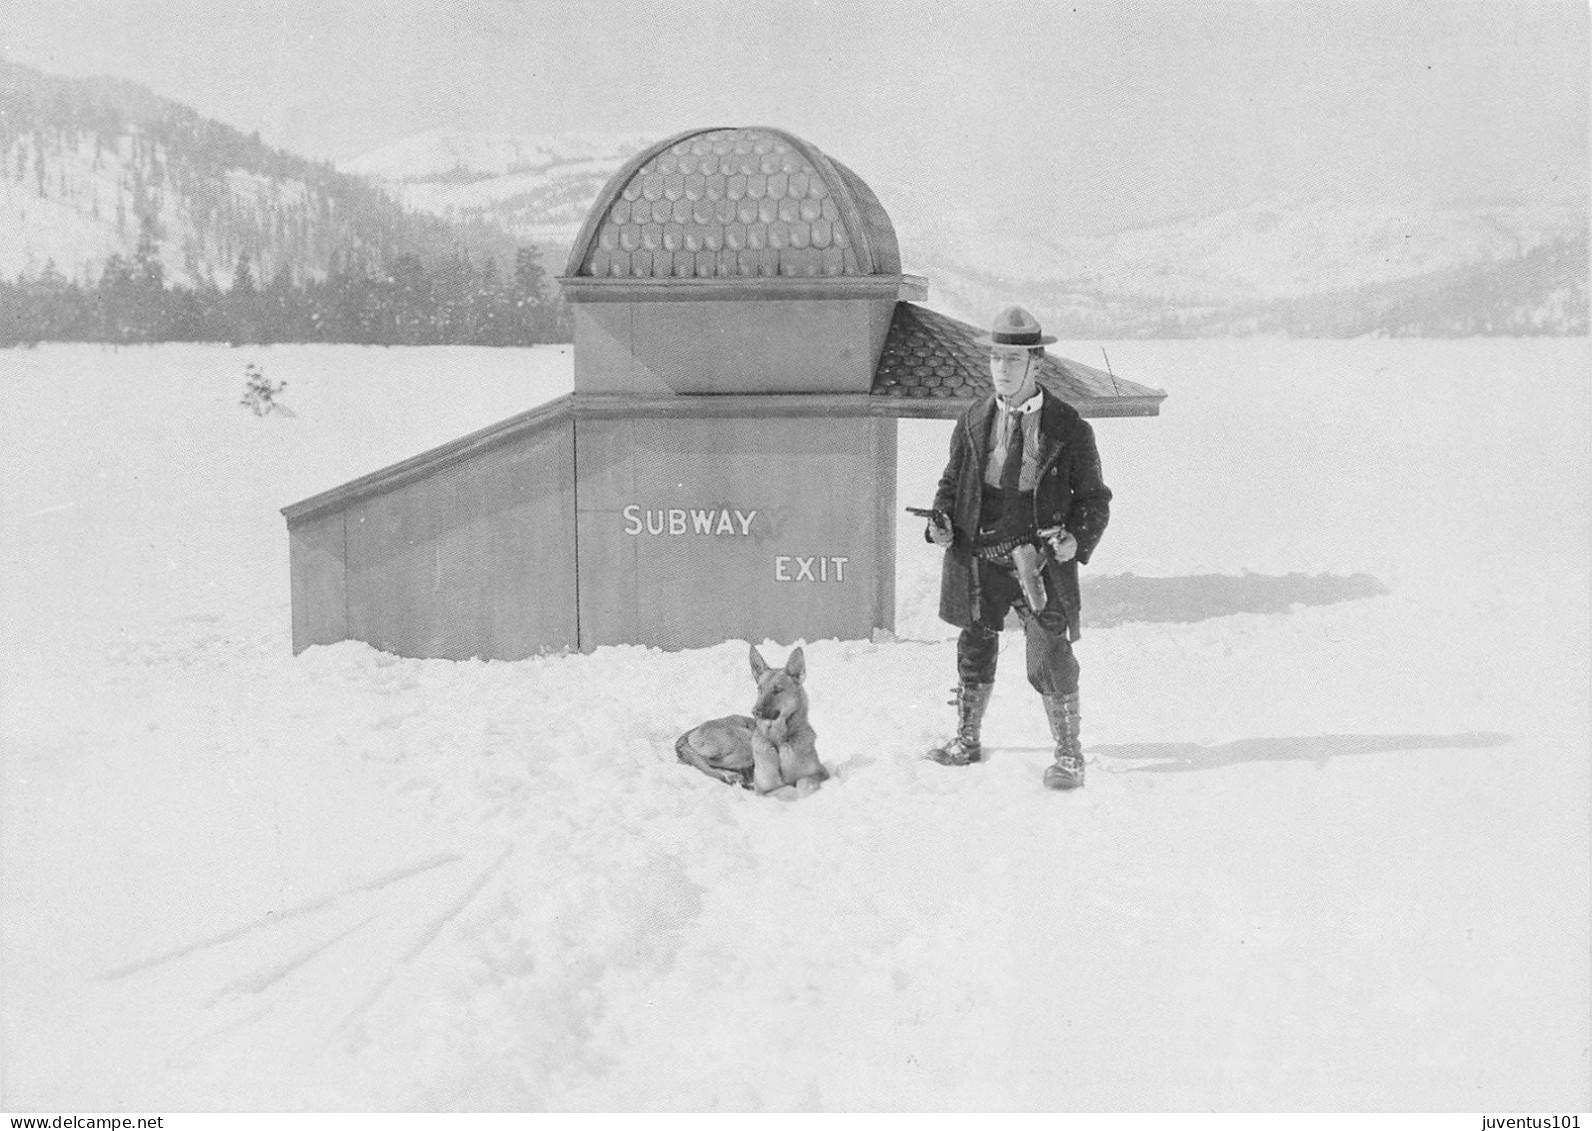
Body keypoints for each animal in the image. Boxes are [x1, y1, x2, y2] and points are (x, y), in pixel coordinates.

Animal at [671, 646, 827, 796]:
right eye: (760, 689)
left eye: (777, 690)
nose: (755, 712)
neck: (779, 742)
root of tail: (691, 731)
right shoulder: (765, 790)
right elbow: (787, 791)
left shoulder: (821, 773)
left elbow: (804, 782)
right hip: (744, 745)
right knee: (703, 762)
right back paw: (731, 775)